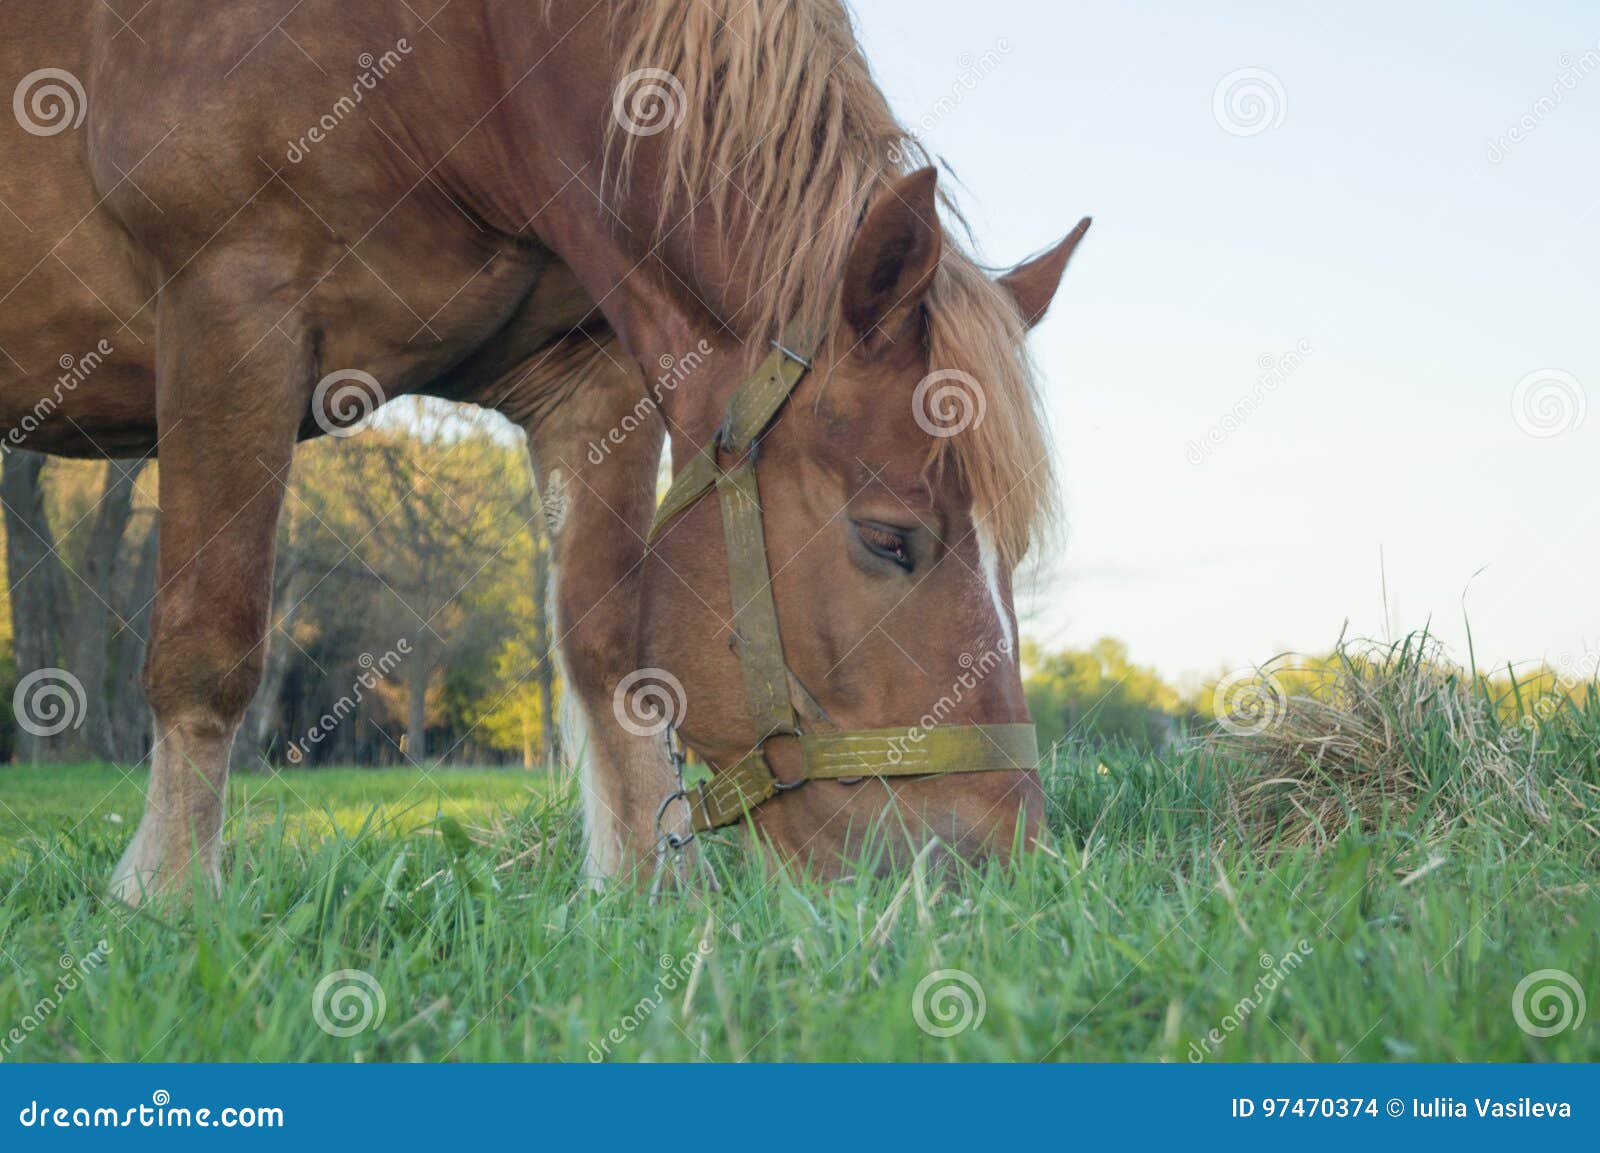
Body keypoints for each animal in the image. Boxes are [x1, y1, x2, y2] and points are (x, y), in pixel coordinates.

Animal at [0, 0, 1089, 903]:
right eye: (887, 538)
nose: (994, 869)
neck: (461, 54)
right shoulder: (229, 296)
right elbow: (209, 642)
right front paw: (168, 901)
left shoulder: (589, 371)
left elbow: (610, 650)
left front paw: (649, 896)